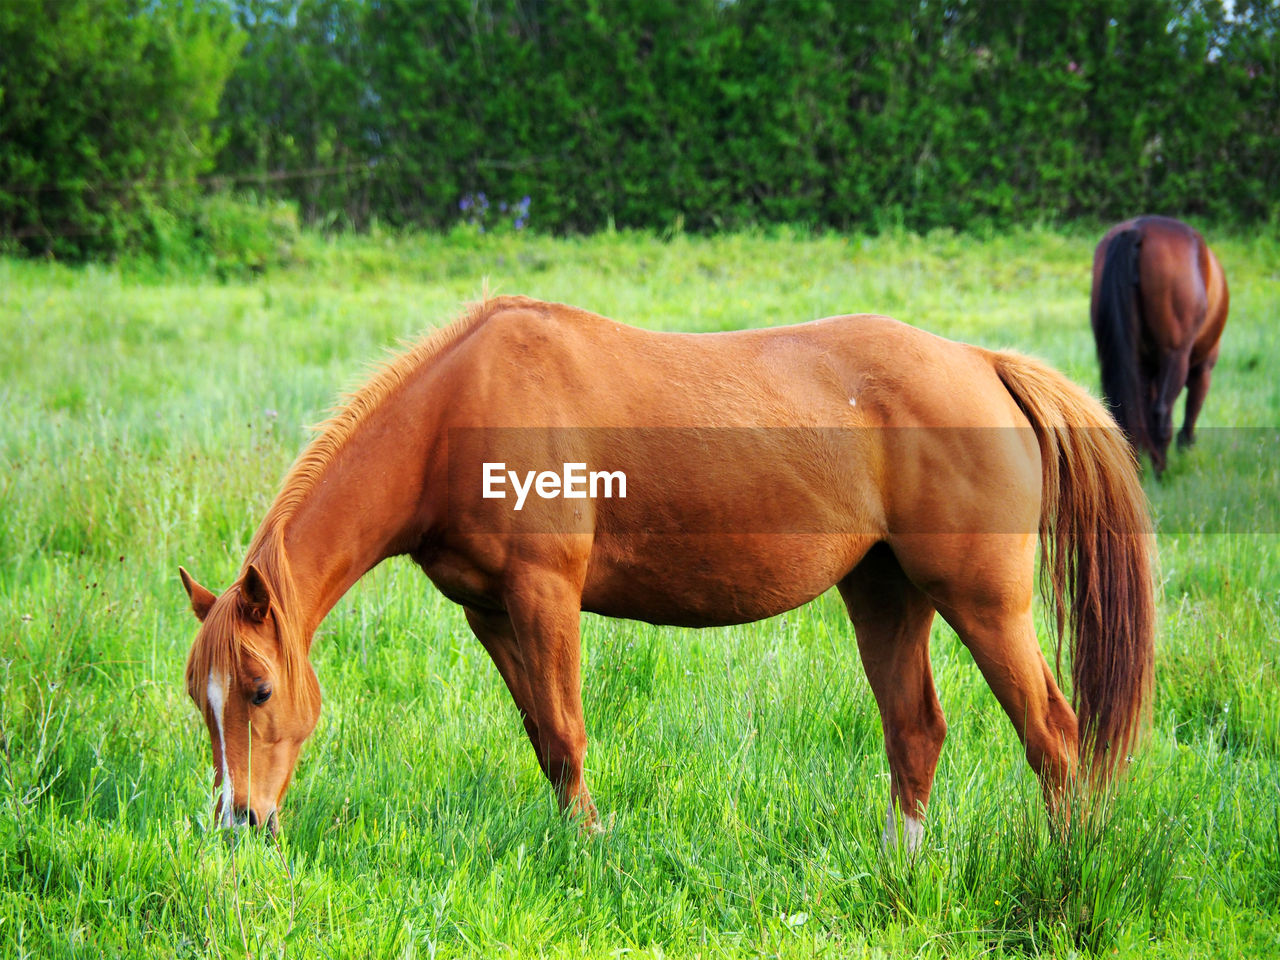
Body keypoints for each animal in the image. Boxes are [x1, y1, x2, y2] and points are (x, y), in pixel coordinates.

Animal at [177, 295, 1152, 849]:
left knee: (1055, 736)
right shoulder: (490, 614)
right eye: (202, 700)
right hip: (885, 593)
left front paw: (590, 852)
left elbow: (566, 733)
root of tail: (984, 365)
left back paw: (1063, 870)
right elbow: (541, 738)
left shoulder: (545, 597)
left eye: (259, 691)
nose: (237, 823)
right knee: (915, 732)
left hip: (983, 602)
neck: (461, 412)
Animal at [1090, 216, 1228, 476]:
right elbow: (1189, 412)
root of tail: (1137, 230)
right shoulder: (1203, 369)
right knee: (1162, 413)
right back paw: (1161, 471)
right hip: (1177, 357)